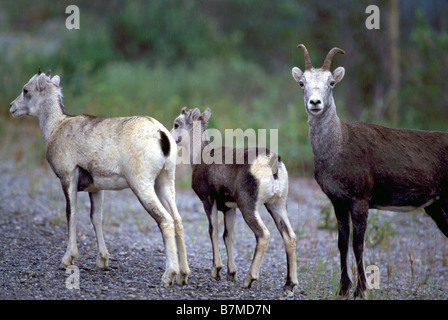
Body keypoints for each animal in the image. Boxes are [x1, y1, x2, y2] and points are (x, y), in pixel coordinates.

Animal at [10, 68, 189, 288]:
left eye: (26, 90)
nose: (12, 107)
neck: (56, 127)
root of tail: (161, 134)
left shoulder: (68, 178)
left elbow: (71, 214)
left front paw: (67, 260)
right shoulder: (96, 189)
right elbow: (96, 218)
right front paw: (102, 261)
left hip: (142, 187)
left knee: (165, 221)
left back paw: (168, 276)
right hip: (164, 184)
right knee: (177, 220)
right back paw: (183, 276)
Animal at [169, 108, 298, 292]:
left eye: (176, 124)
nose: (169, 137)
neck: (200, 156)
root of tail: (273, 163)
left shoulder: (208, 201)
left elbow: (213, 231)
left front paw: (216, 271)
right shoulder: (230, 208)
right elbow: (227, 235)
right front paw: (231, 274)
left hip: (249, 207)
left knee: (263, 235)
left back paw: (249, 279)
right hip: (277, 205)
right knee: (289, 236)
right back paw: (289, 284)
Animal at [292, 43, 448, 298]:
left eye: (331, 82)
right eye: (302, 83)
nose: (315, 103)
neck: (338, 149)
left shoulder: (361, 197)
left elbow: (358, 243)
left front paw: (361, 289)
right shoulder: (337, 199)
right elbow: (342, 242)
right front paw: (343, 288)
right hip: (435, 205)